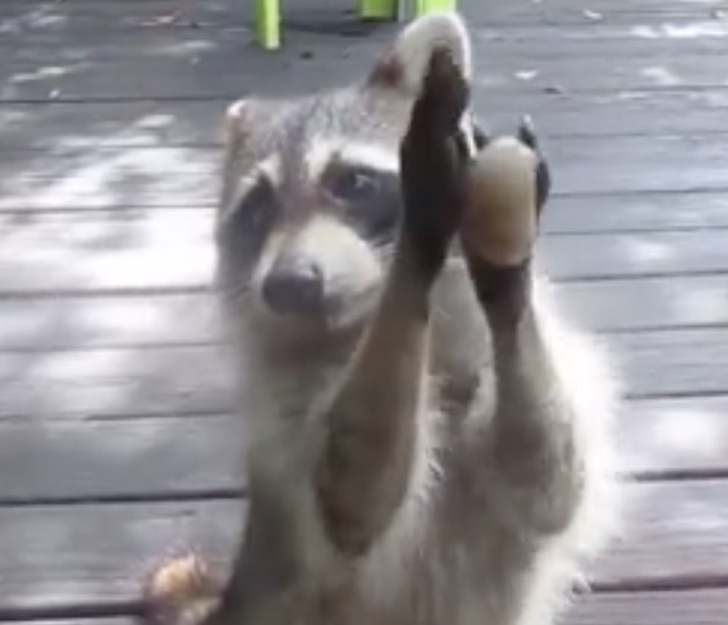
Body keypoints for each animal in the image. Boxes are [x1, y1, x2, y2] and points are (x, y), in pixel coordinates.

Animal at [146, 11, 620, 624]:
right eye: (257, 211)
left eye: (352, 183)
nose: (289, 285)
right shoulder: (285, 418)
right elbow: (351, 498)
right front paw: (419, 238)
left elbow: (549, 483)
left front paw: (505, 271)